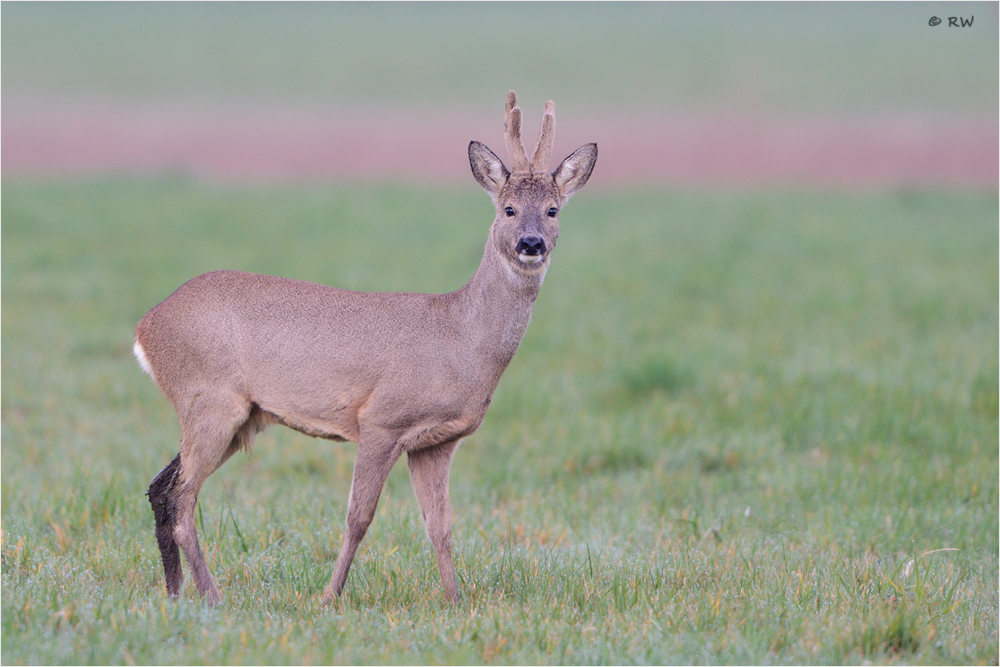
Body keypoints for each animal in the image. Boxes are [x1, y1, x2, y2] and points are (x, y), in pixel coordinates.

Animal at [136, 91, 596, 608]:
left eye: (554, 210)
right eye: (509, 209)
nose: (531, 243)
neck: (461, 337)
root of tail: (145, 327)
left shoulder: (437, 442)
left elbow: (441, 527)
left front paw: (456, 602)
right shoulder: (381, 419)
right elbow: (359, 518)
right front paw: (327, 597)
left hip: (240, 416)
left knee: (161, 488)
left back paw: (175, 594)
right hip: (209, 399)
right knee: (182, 499)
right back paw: (212, 597)